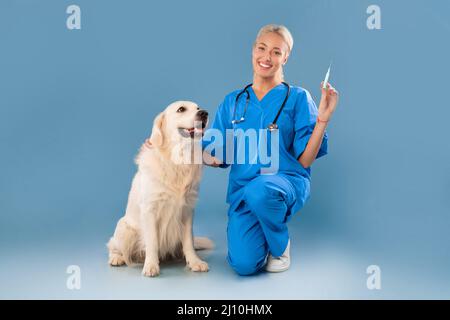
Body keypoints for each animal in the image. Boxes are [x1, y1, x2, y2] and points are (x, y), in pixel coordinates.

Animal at [109, 101, 214, 276]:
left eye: (198, 108)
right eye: (181, 109)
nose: (204, 113)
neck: (178, 159)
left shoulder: (187, 210)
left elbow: (188, 242)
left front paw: (194, 262)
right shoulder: (150, 209)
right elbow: (152, 241)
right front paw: (151, 265)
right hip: (124, 228)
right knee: (113, 246)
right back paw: (117, 258)